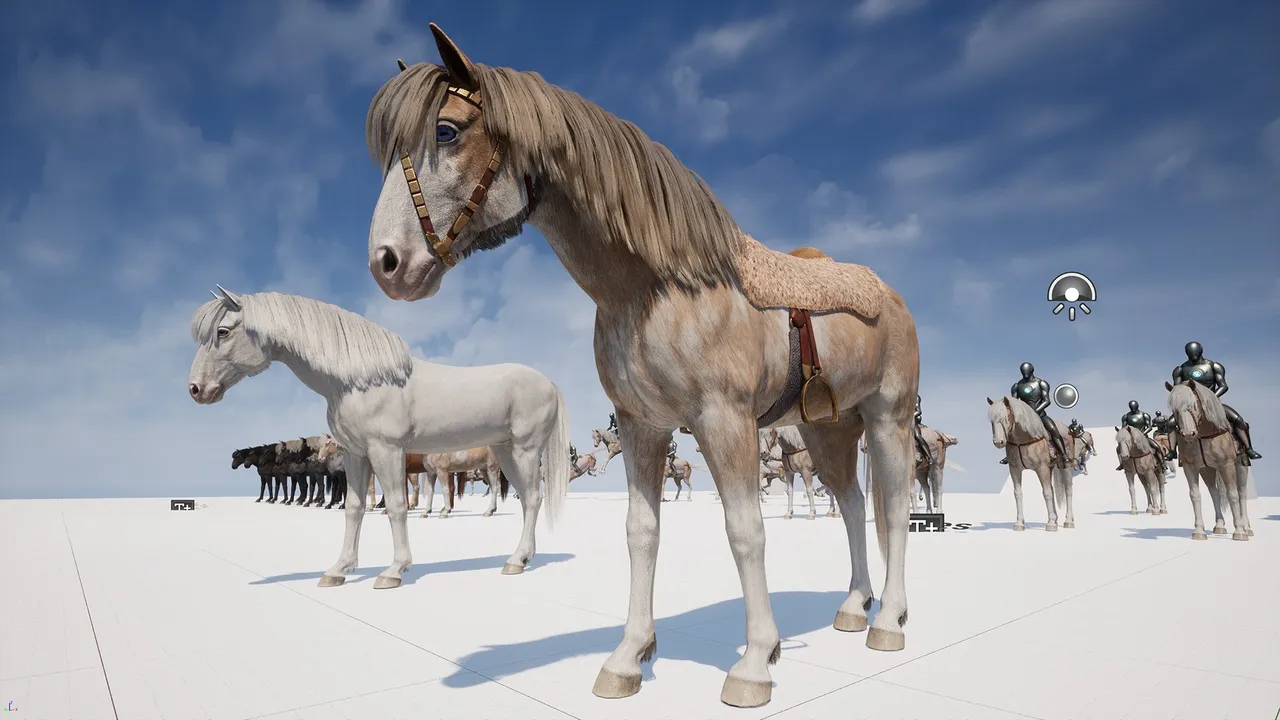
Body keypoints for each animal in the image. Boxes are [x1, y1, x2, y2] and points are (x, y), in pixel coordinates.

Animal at [188, 288, 571, 585]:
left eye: (223, 331)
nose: (196, 390)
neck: (358, 381)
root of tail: (549, 383)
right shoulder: (356, 454)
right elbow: (354, 508)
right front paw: (338, 570)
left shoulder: (386, 450)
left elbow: (397, 506)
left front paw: (394, 571)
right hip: (505, 451)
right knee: (527, 498)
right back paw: (521, 559)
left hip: (524, 450)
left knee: (533, 498)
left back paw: (515, 561)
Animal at [363, 27, 919, 707]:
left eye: (446, 130)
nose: (387, 264)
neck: (657, 288)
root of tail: (888, 294)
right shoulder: (641, 426)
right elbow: (641, 532)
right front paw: (629, 657)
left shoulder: (725, 423)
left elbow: (745, 531)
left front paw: (755, 663)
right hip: (829, 431)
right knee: (854, 504)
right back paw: (853, 607)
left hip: (888, 417)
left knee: (893, 504)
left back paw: (888, 622)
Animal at [986, 396, 1075, 531]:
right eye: (992, 421)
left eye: (1007, 417)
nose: (998, 442)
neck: (1024, 439)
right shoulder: (1015, 469)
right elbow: (1018, 493)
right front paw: (1019, 523)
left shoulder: (1042, 468)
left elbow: (1047, 493)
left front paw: (1051, 524)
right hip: (1050, 467)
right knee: (1052, 489)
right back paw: (1055, 518)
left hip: (1066, 467)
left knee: (1068, 490)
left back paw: (1068, 521)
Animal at [1165, 380, 1252, 541]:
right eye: (1174, 409)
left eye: (1194, 405)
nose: (1188, 434)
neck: (1204, 434)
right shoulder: (1190, 467)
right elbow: (1195, 495)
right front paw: (1199, 531)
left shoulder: (1227, 465)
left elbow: (1232, 495)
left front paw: (1240, 532)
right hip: (1207, 469)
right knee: (1214, 492)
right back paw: (1219, 526)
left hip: (1241, 466)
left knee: (1241, 493)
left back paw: (1247, 528)